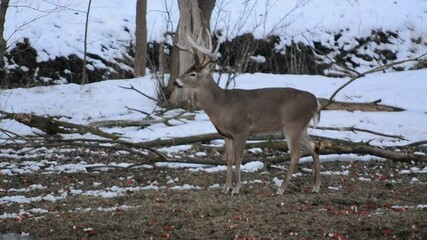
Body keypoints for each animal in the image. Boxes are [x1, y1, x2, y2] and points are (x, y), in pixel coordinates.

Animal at [174, 29, 320, 195]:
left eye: (193, 74)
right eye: (187, 70)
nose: (176, 82)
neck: (221, 105)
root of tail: (315, 101)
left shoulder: (241, 130)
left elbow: (238, 158)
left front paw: (236, 188)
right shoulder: (226, 135)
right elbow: (228, 159)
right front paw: (226, 188)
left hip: (292, 125)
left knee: (296, 154)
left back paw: (281, 189)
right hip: (302, 127)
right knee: (314, 146)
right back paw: (315, 186)